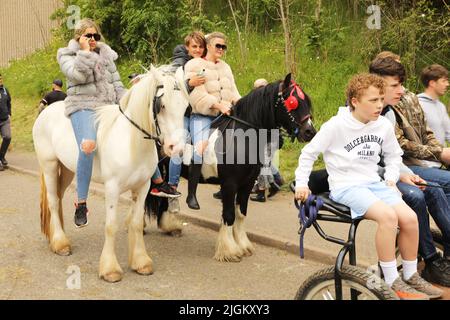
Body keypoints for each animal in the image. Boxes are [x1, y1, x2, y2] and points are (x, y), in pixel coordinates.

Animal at [31, 66, 186, 282]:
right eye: (161, 105)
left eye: (185, 107)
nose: (176, 148)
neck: (130, 140)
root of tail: (46, 112)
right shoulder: (112, 188)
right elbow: (111, 225)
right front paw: (110, 269)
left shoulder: (143, 187)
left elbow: (136, 223)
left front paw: (141, 262)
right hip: (50, 165)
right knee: (53, 201)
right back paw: (60, 242)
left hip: (68, 169)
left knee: (59, 197)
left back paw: (55, 235)